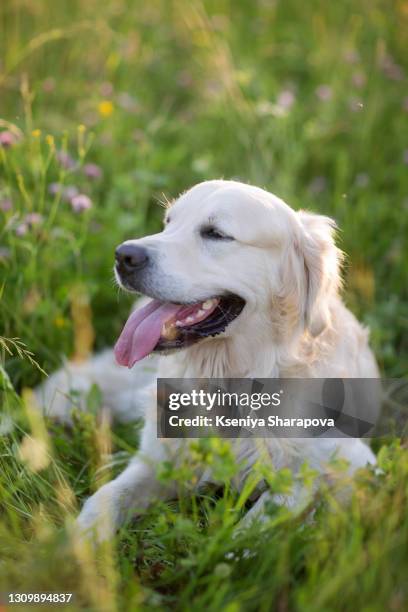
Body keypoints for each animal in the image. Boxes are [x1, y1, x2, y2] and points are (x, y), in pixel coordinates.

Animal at [36, 180, 378, 540]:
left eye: (216, 233)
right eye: (168, 222)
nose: (124, 255)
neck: (231, 381)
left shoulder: (348, 465)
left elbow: (252, 532)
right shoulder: (159, 459)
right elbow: (108, 496)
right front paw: (74, 544)